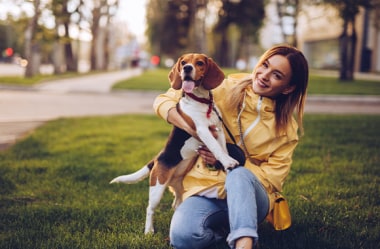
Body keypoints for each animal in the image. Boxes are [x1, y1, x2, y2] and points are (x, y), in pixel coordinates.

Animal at [110, 53, 238, 234]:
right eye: (183, 62)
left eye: (199, 63)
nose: (187, 68)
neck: (202, 102)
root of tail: (157, 159)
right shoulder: (202, 130)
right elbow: (216, 148)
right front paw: (228, 162)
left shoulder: (218, 130)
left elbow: (222, 148)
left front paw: (226, 164)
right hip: (157, 187)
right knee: (150, 208)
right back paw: (149, 231)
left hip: (178, 187)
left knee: (176, 202)